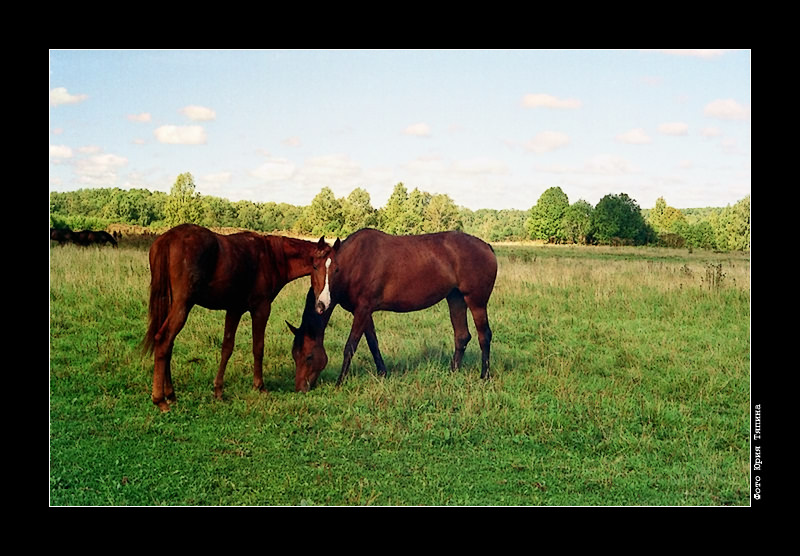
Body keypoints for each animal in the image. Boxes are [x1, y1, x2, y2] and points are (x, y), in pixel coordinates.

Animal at [142, 224, 324, 410]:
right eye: (308, 356)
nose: (303, 387)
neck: (272, 257)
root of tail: (168, 238)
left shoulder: (234, 310)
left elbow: (227, 348)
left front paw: (218, 391)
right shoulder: (261, 309)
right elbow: (258, 347)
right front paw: (260, 386)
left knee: (168, 345)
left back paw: (170, 394)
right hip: (182, 306)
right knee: (163, 340)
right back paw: (160, 399)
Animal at [290, 228, 496, 394]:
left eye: (309, 356)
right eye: (314, 266)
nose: (300, 388)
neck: (356, 263)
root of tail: (487, 246)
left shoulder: (363, 310)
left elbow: (350, 346)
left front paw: (340, 382)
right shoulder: (364, 312)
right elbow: (373, 343)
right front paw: (383, 373)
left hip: (476, 302)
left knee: (484, 336)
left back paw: (484, 376)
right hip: (456, 298)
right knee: (461, 336)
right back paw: (453, 372)